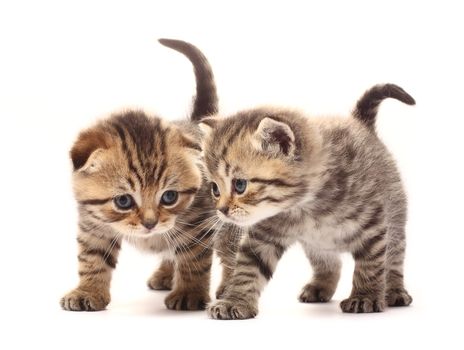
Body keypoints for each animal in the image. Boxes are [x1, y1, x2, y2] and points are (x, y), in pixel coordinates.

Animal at [60, 39, 224, 312]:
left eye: (169, 197)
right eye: (123, 201)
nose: (150, 224)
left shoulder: (199, 224)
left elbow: (194, 259)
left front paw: (189, 293)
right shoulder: (93, 225)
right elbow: (92, 258)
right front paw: (88, 291)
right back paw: (165, 275)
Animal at [201, 83, 416, 318]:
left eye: (240, 185)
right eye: (214, 188)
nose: (221, 210)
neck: (304, 207)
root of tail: (360, 124)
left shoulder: (373, 224)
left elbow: (371, 264)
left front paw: (364, 296)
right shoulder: (263, 235)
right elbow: (248, 268)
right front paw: (234, 301)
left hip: (395, 217)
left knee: (394, 258)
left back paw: (394, 290)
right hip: (317, 244)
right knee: (329, 263)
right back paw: (320, 286)